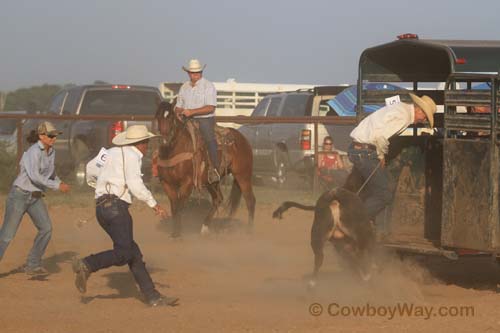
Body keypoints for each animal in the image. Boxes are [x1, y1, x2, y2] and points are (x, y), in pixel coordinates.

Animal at [154, 101, 256, 236]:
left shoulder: (187, 183)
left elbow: (180, 206)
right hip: (212, 182)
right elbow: (174, 207)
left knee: (250, 201)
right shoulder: (166, 183)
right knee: (218, 199)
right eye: (157, 116)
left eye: (171, 117)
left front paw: (178, 234)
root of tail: (243, 139)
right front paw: (175, 233)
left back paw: (249, 232)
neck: (173, 152)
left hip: (243, 175)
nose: (165, 140)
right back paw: (205, 227)